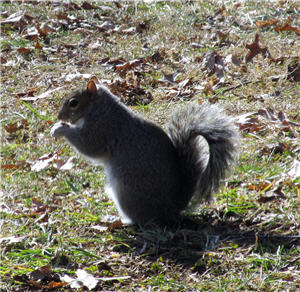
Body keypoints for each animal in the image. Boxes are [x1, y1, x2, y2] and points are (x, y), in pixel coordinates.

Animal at [51, 78, 239, 227]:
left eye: (74, 102)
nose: (59, 116)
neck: (100, 108)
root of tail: (170, 208)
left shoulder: (102, 128)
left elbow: (89, 146)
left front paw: (60, 129)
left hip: (127, 192)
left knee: (142, 220)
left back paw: (120, 221)